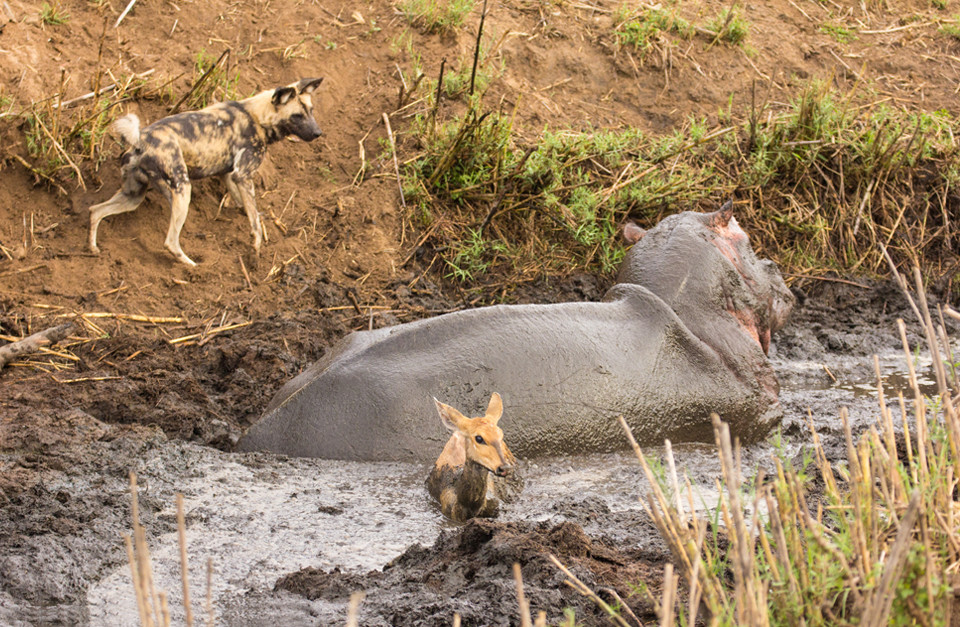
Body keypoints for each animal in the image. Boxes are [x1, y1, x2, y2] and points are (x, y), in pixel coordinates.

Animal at [88, 77, 324, 266]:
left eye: (311, 111)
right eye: (297, 116)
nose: (318, 133)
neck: (258, 117)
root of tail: (140, 140)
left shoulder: (230, 175)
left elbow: (247, 207)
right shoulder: (243, 175)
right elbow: (255, 224)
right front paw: (256, 250)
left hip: (133, 196)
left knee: (95, 211)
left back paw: (93, 249)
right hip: (183, 190)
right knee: (170, 242)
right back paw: (194, 267)